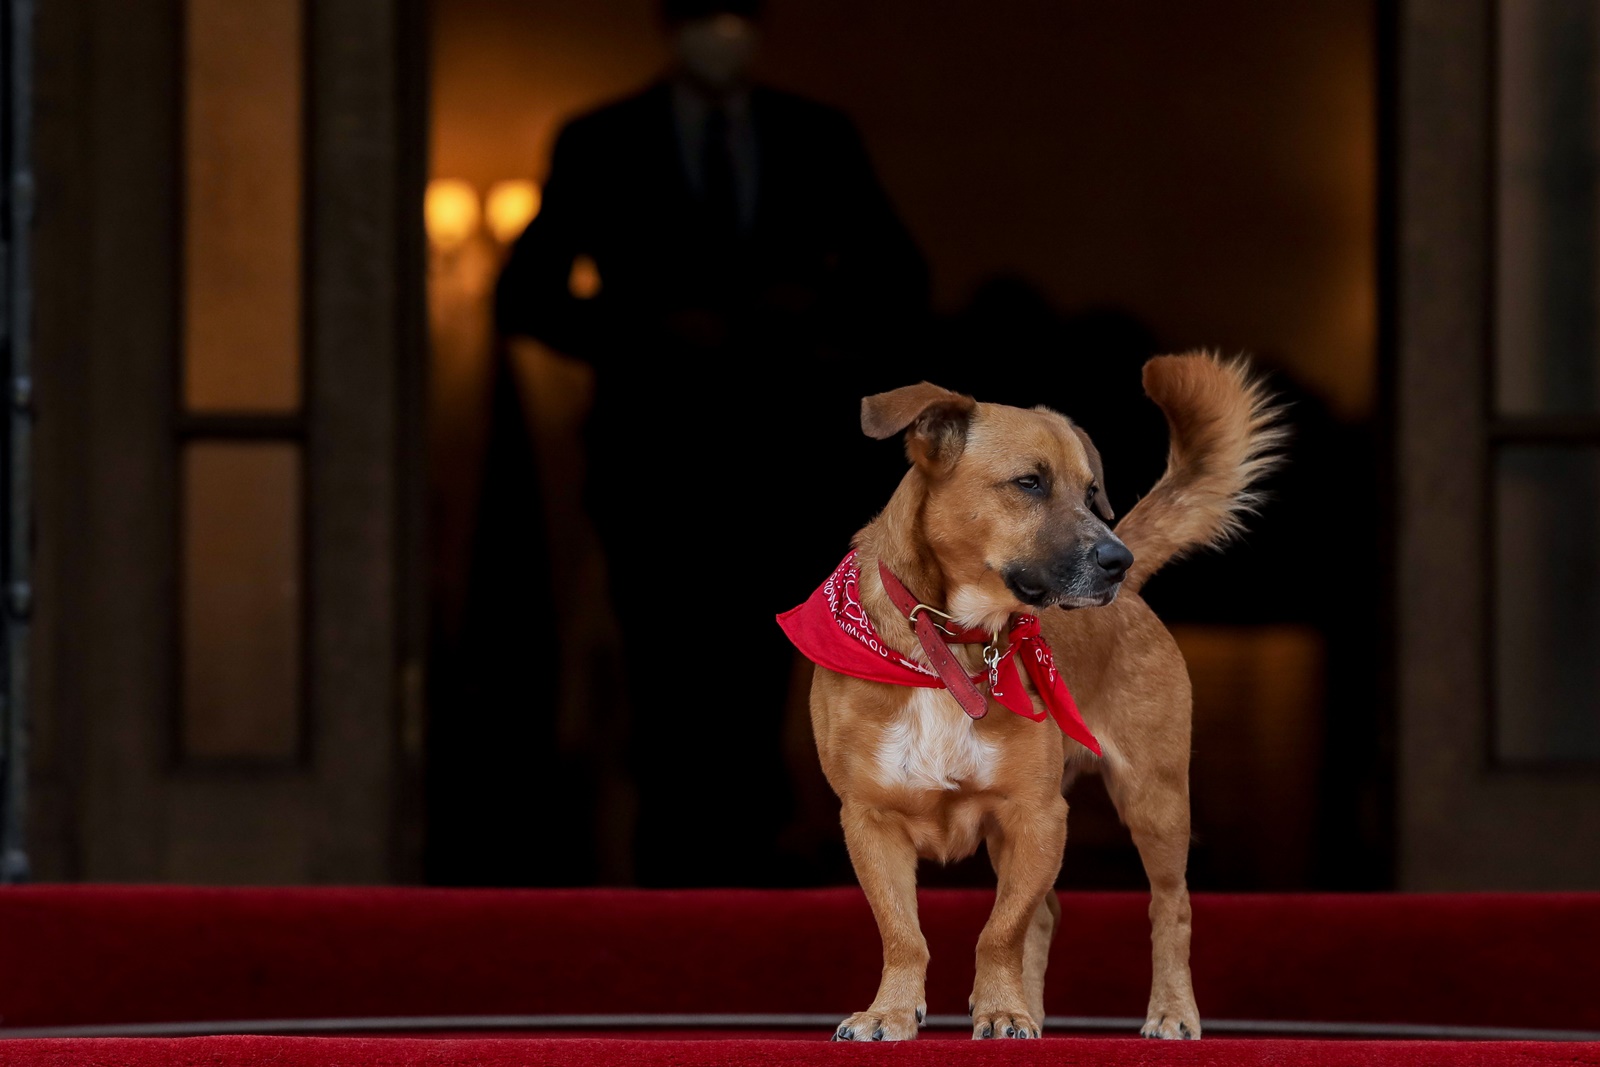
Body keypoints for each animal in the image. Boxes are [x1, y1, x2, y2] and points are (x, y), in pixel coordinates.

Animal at [780, 351, 1280, 1043]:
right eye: (1029, 484)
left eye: (1091, 493)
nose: (1118, 559)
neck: (953, 643)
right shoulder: (870, 819)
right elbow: (905, 932)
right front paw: (895, 1011)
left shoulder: (1036, 816)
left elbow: (1000, 931)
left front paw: (999, 1007)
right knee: (1046, 914)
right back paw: (1029, 1006)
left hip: (1155, 800)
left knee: (1169, 907)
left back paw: (1170, 1010)